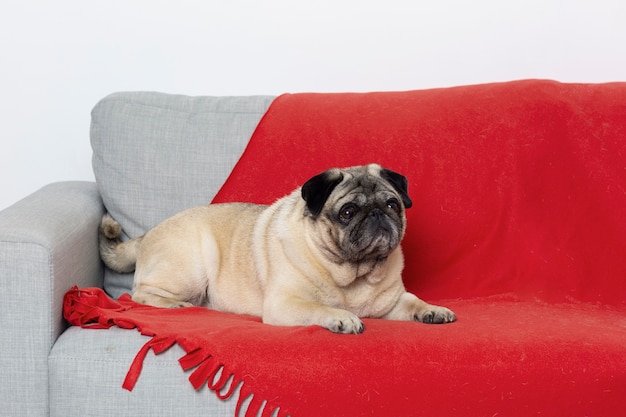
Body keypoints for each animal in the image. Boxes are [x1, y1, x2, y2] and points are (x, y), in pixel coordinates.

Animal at [101, 162, 454, 332]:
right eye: (348, 212)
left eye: (392, 204)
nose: (378, 214)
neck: (353, 273)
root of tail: (147, 234)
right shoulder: (286, 304)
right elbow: (319, 308)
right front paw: (342, 317)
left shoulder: (392, 303)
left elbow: (414, 302)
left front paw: (433, 310)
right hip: (190, 269)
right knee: (138, 294)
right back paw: (175, 305)